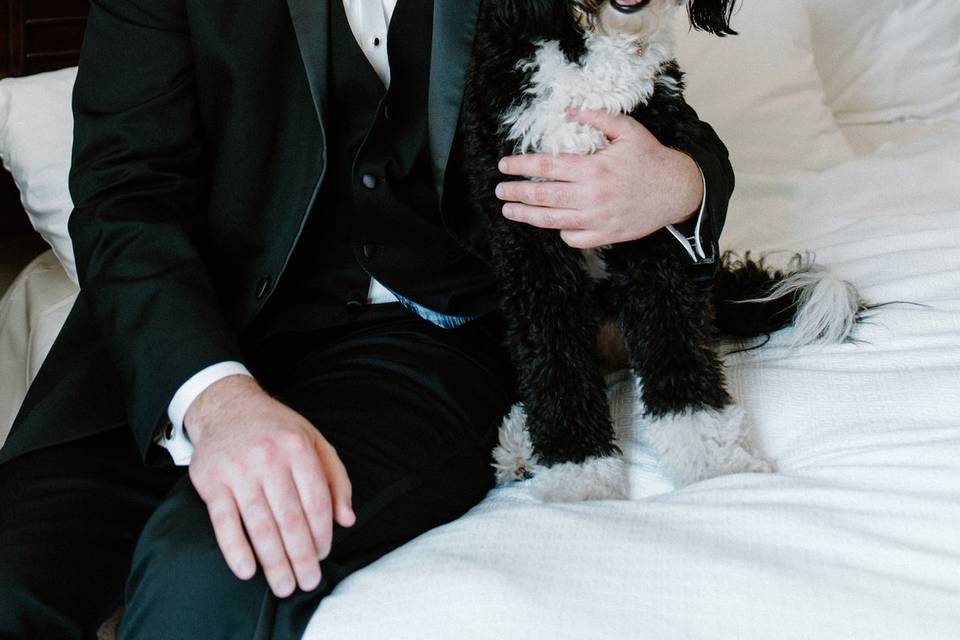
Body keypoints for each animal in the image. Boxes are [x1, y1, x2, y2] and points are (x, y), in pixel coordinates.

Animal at [456, 0, 864, 500]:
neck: (595, 54)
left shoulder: (645, 194)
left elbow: (672, 337)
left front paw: (714, 458)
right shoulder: (527, 231)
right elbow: (551, 351)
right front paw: (580, 473)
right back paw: (521, 444)